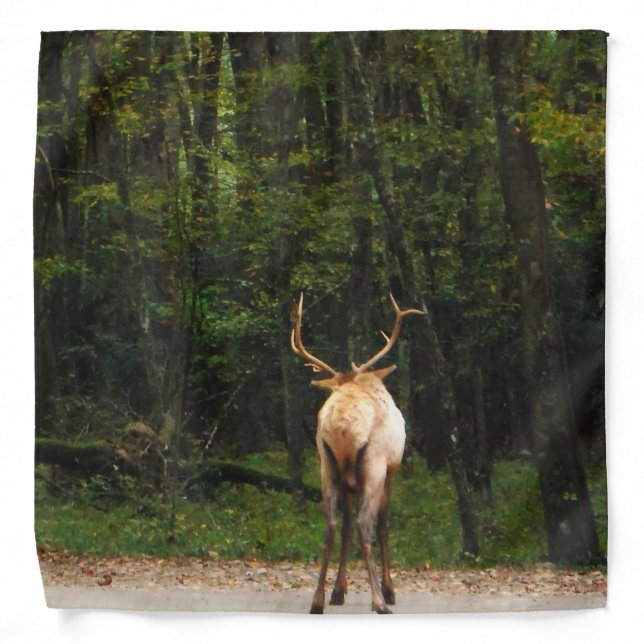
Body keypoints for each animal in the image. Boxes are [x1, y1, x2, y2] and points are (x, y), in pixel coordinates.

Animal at [291, 293, 424, 614]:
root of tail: (342, 425)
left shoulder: (345, 480)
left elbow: (346, 528)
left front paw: (339, 591)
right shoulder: (391, 469)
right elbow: (383, 525)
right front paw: (389, 590)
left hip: (327, 467)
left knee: (330, 525)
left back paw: (317, 600)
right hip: (373, 466)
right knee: (367, 524)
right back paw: (380, 602)